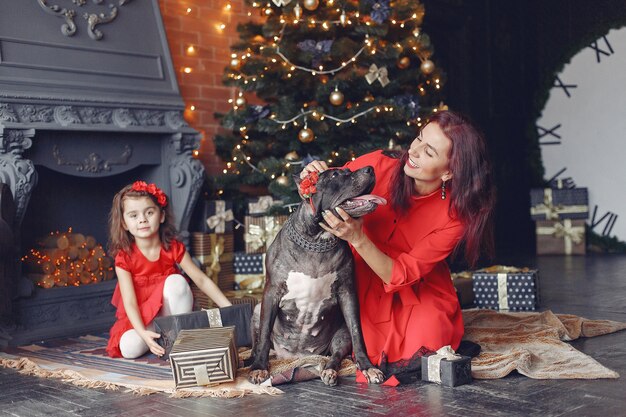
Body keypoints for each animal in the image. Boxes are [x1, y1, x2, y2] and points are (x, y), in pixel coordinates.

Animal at [247, 166, 386, 386]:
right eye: (335, 175)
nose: (370, 168)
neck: (318, 240)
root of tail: (297, 358)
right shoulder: (271, 292)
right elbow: (264, 335)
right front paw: (259, 367)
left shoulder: (347, 293)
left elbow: (358, 333)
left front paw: (367, 366)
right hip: (257, 310)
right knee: (258, 340)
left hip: (340, 334)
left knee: (335, 355)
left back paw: (329, 371)